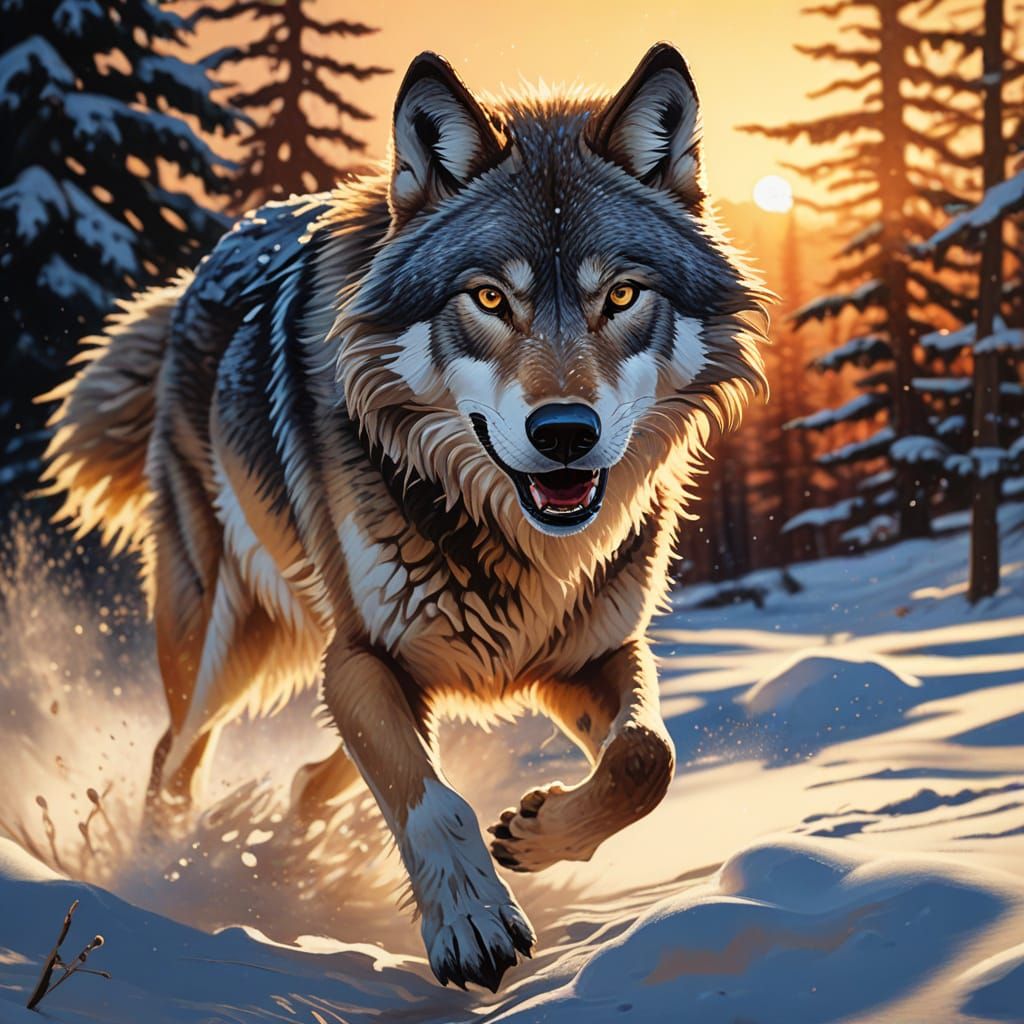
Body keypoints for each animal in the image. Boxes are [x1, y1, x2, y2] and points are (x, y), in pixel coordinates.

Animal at [41, 44, 767, 990]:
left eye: (621, 296)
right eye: (490, 299)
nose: (564, 433)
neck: (509, 536)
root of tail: (200, 268)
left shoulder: (592, 650)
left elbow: (647, 760)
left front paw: (536, 835)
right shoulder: (359, 655)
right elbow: (433, 803)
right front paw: (472, 921)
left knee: (315, 777)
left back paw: (285, 837)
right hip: (223, 647)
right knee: (175, 758)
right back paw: (164, 876)